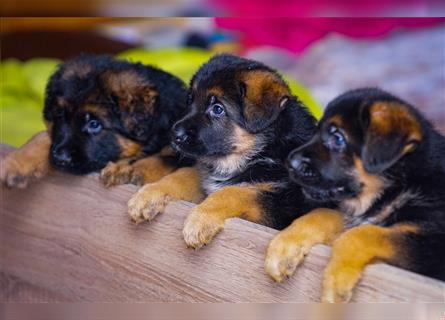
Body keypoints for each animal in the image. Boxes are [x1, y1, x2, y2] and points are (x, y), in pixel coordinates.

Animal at [0, 55, 191, 188]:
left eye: (94, 124)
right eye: (59, 115)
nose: (61, 159)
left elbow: (160, 158)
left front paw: (127, 170)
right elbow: (41, 137)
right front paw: (16, 163)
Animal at [126, 54, 318, 248]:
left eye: (218, 109)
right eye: (190, 100)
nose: (174, 135)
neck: (261, 150)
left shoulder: (278, 206)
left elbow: (234, 192)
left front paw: (199, 220)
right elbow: (182, 175)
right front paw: (148, 194)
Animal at [266, 88, 442, 302]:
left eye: (338, 138)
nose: (289, 163)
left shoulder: (431, 245)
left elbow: (363, 233)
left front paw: (336, 280)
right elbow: (321, 214)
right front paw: (285, 245)